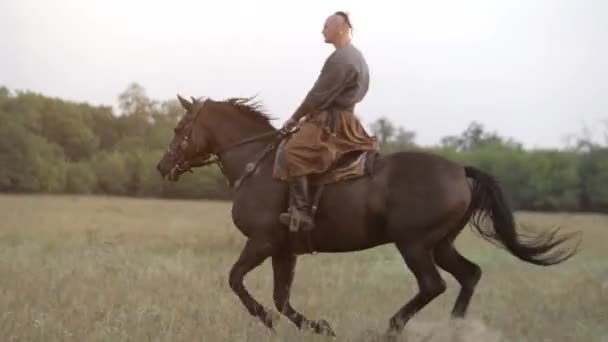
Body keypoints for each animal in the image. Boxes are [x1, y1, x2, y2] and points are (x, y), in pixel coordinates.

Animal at [156, 95, 580, 338]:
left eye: (179, 128)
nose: (163, 166)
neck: (257, 165)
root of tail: (460, 170)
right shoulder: (284, 250)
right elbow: (282, 299)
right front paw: (320, 327)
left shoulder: (261, 242)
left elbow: (237, 280)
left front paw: (266, 319)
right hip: (440, 244)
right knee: (469, 275)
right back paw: (452, 328)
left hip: (414, 244)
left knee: (433, 285)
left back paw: (391, 328)